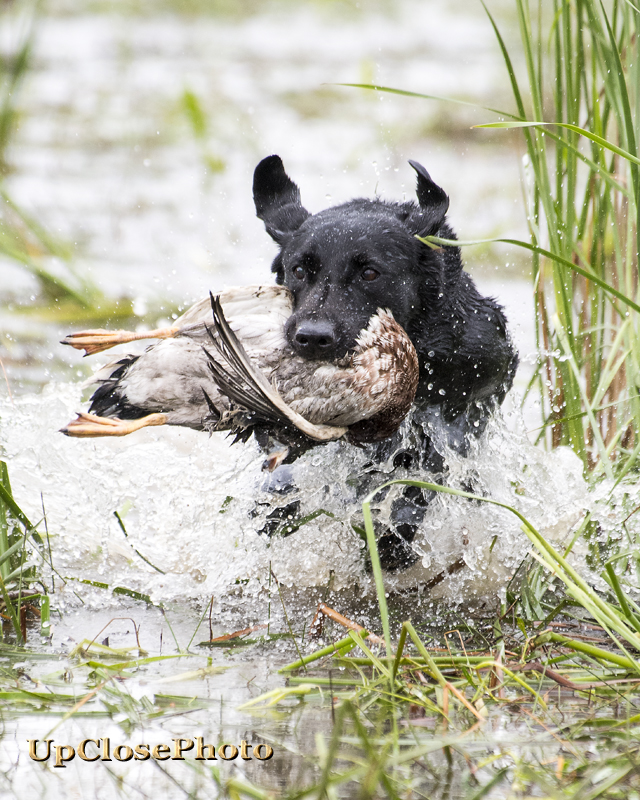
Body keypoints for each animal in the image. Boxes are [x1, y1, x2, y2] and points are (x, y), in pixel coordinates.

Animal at [252, 156, 516, 568]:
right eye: (299, 270)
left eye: (370, 273)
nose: (311, 337)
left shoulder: (472, 395)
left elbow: (425, 472)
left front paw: (393, 536)